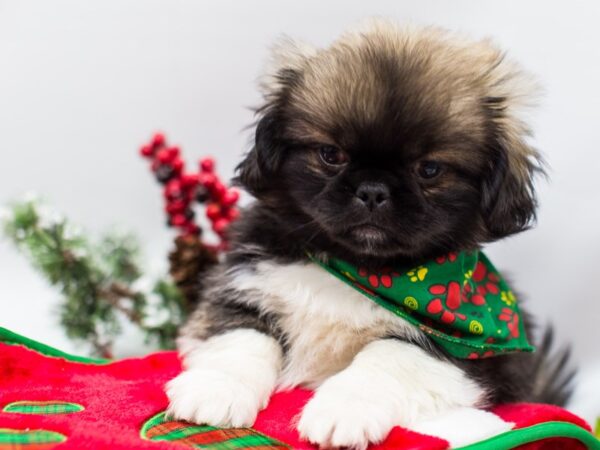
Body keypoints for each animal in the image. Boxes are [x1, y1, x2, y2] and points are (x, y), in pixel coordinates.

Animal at [165, 19, 572, 448]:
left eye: (429, 170)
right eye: (331, 154)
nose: (373, 190)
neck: (359, 267)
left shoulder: (463, 354)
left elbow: (387, 357)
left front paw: (342, 410)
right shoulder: (240, 287)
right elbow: (241, 338)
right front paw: (214, 390)